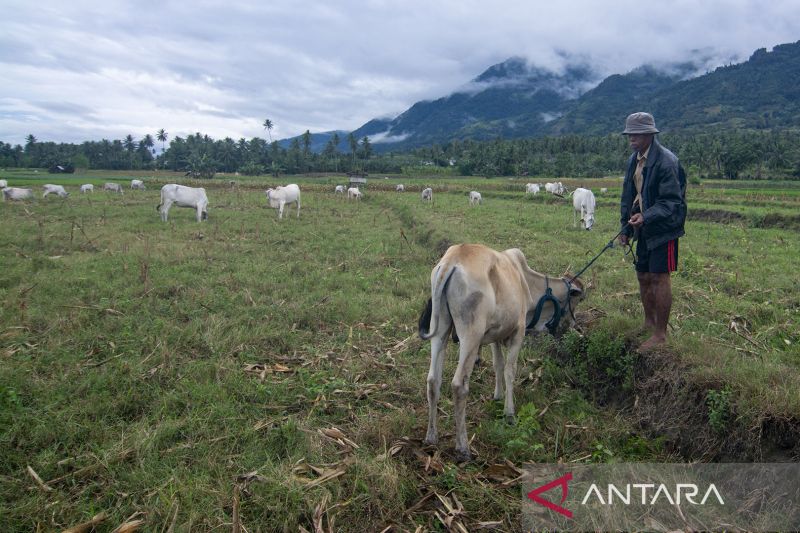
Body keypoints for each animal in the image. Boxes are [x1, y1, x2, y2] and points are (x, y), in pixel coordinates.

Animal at [418, 243, 588, 460]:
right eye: (580, 299)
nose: (573, 325)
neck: (525, 281)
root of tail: (451, 262)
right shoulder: (518, 333)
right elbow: (509, 370)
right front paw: (509, 412)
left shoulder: (493, 336)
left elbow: (497, 365)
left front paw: (497, 396)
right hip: (470, 336)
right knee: (459, 385)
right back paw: (463, 447)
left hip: (440, 330)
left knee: (433, 380)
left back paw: (431, 437)